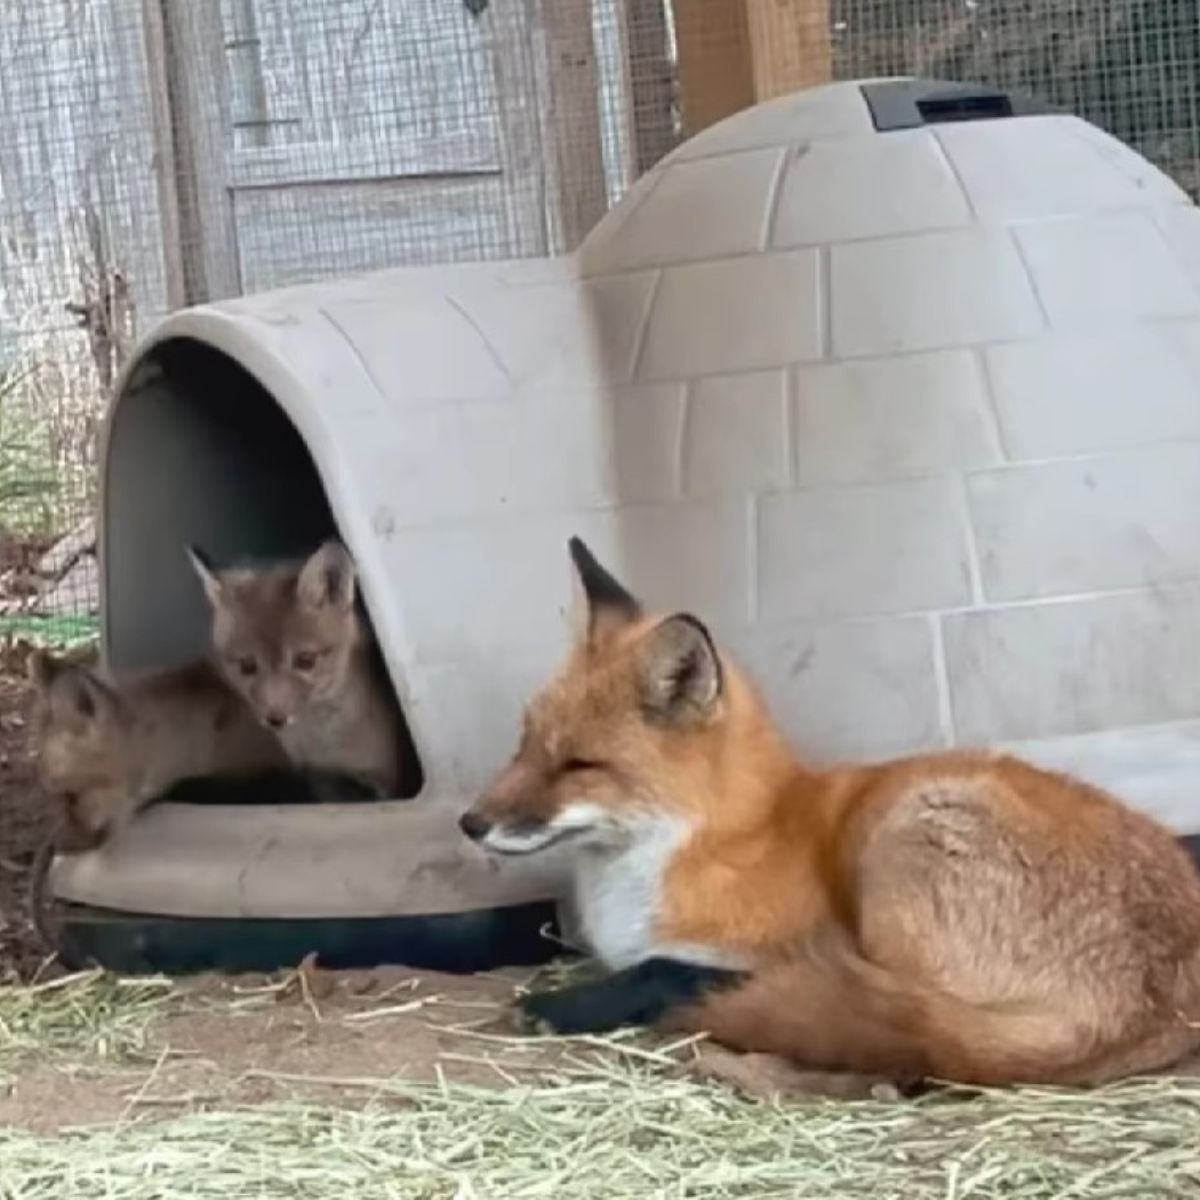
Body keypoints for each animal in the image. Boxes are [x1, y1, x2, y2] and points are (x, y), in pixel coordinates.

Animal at [456, 540, 1200, 1094]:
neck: (691, 844)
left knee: (915, 1037)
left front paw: (567, 1005)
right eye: (524, 743)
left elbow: (656, 969)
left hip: (902, 849)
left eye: (578, 764)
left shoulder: (776, 948)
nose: (470, 823)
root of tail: (1158, 999)